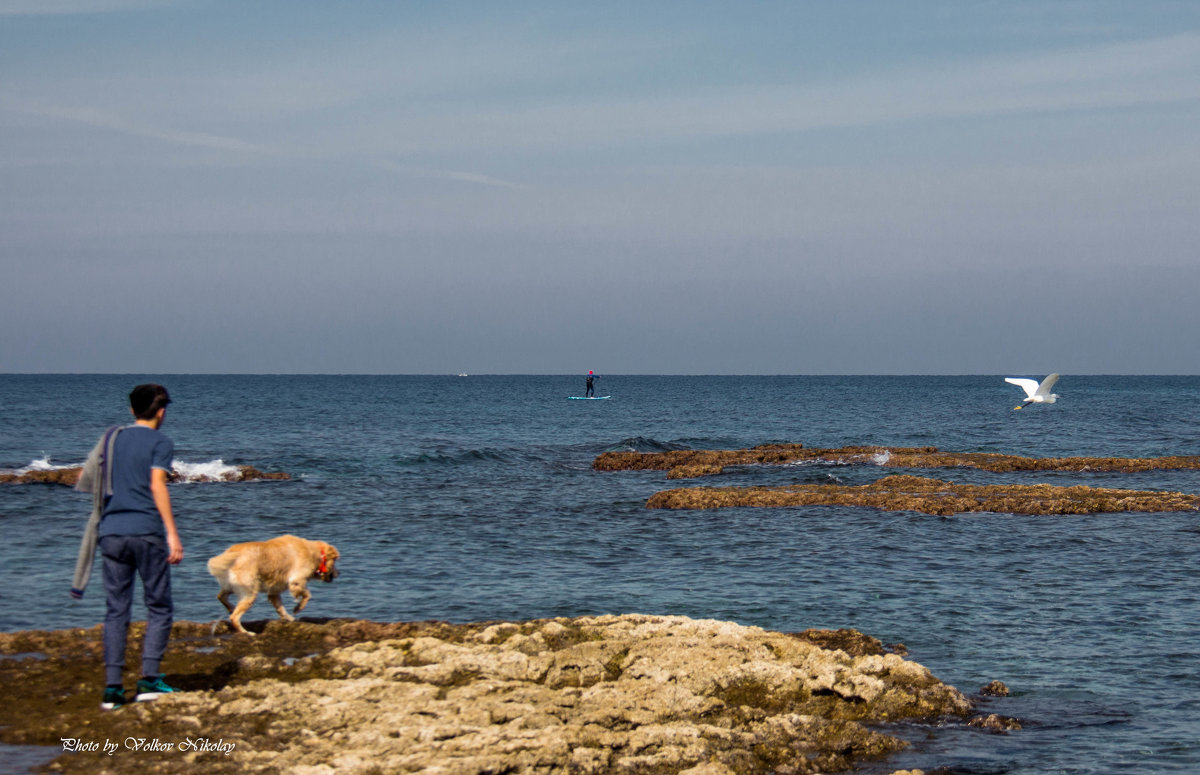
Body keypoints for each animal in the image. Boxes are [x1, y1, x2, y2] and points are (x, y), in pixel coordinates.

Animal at [206, 535, 338, 638]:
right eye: (335, 562)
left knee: (220, 597)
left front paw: (290, 618)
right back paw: (247, 632)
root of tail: (230, 553)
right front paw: (298, 608)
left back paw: (231, 607)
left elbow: (280, 608)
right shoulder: (296, 581)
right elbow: (307, 595)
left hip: (231, 587)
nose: (338, 573)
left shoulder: (274, 591)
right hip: (250, 592)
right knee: (234, 617)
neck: (316, 552)